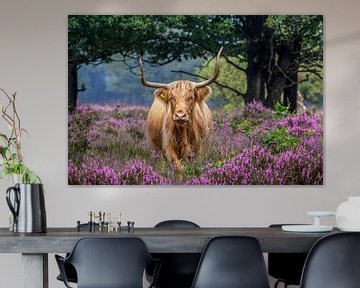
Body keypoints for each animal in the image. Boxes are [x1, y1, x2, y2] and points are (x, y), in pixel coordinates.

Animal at [139, 47, 221, 176]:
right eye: (171, 97)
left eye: (191, 98)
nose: (180, 115)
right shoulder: (168, 147)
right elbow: (179, 168)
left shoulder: (199, 149)